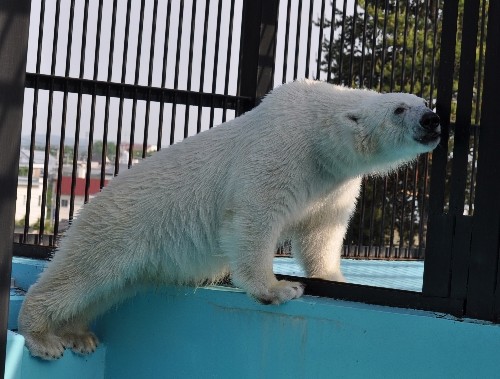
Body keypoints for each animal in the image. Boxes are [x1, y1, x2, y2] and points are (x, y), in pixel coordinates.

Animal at [18, 80, 442, 360]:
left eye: (424, 100)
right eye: (399, 109)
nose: (433, 120)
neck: (316, 132)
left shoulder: (333, 182)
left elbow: (321, 231)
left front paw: (334, 276)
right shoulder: (279, 151)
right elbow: (254, 217)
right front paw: (279, 288)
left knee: (105, 290)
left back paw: (78, 334)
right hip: (117, 227)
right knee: (81, 274)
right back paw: (43, 337)